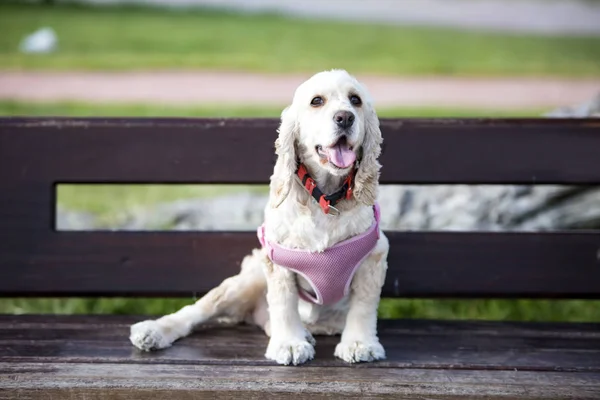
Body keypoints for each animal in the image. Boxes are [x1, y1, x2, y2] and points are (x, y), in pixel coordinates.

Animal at [130, 69, 390, 366]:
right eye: (317, 101)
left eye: (355, 100)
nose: (345, 117)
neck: (324, 198)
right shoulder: (277, 261)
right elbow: (283, 303)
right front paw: (289, 344)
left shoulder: (373, 256)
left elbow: (363, 305)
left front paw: (359, 343)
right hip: (244, 282)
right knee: (196, 311)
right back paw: (152, 331)